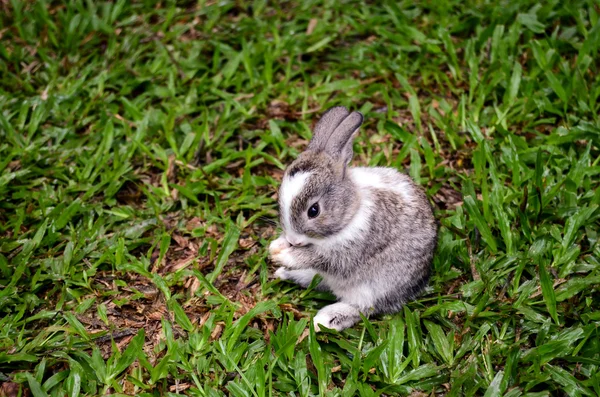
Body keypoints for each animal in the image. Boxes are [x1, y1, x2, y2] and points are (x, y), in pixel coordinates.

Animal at [270, 105, 438, 332]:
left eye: (313, 210)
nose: (293, 241)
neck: (351, 210)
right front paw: (275, 247)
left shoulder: (346, 252)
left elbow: (317, 258)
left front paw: (283, 255)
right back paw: (285, 274)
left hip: (372, 288)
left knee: (362, 308)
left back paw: (323, 321)